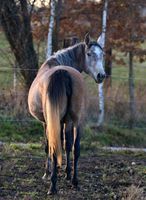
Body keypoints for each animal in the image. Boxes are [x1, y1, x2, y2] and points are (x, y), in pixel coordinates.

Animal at [27, 33, 105, 195]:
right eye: (89, 54)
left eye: (102, 55)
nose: (101, 75)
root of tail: (62, 72)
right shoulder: (65, 121)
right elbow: (66, 145)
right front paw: (65, 173)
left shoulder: (46, 122)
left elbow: (49, 146)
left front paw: (48, 172)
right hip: (76, 119)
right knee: (75, 147)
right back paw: (74, 180)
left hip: (54, 121)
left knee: (54, 146)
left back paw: (53, 185)